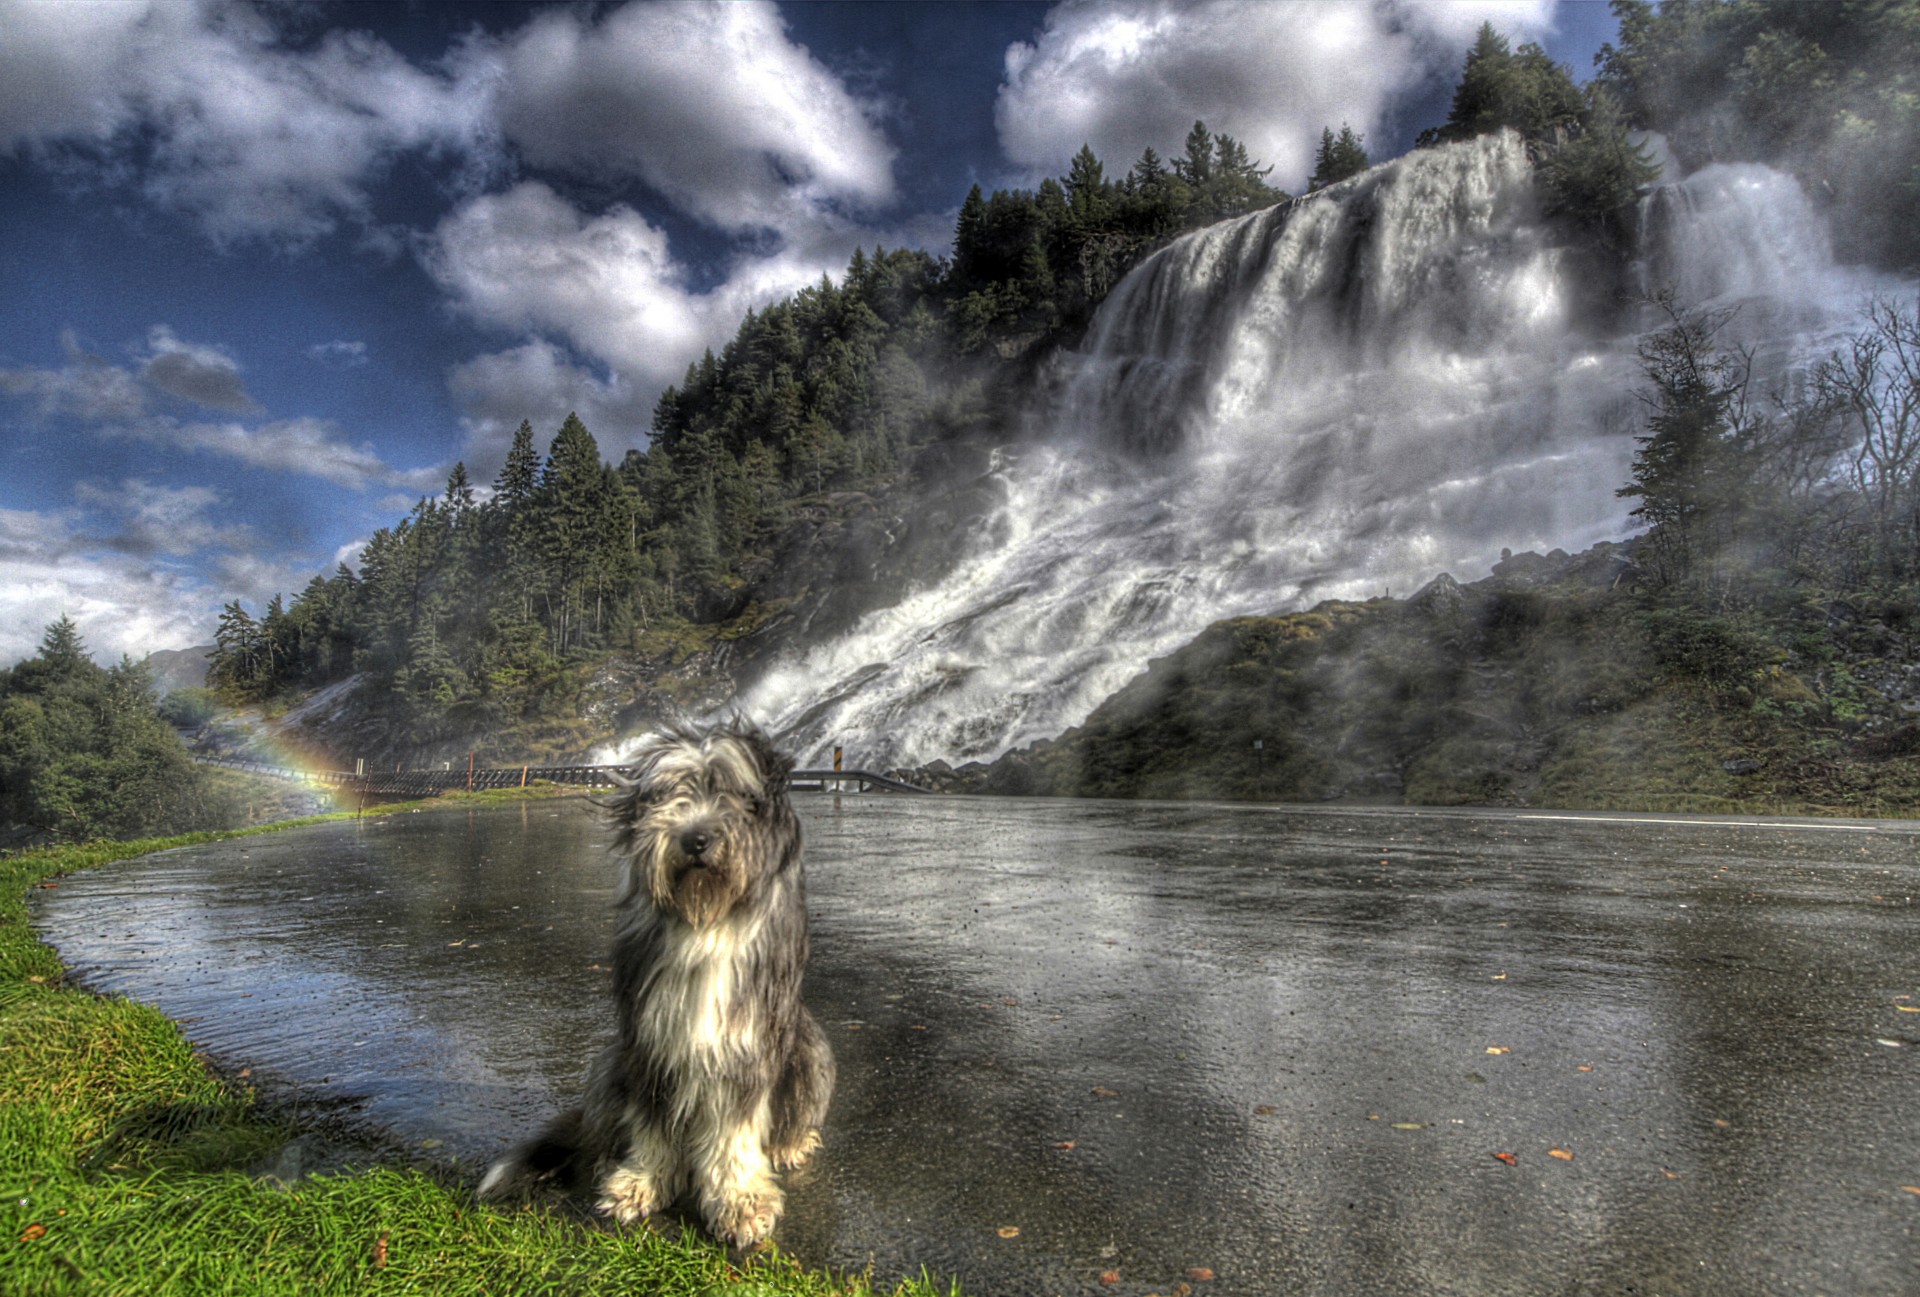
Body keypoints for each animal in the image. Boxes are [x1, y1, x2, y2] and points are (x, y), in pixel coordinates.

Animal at [480, 717, 833, 1243]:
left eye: (735, 794)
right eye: (667, 795)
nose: (695, 839)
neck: (705, 922)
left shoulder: (744, 1041)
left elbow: (736, 1131)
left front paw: (739, 1200)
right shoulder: (650, 1041)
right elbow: (651, 1123)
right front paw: (640, 1181)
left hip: (811, 1049)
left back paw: (792, 1143)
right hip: (609, 1063)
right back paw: (606, 1156)